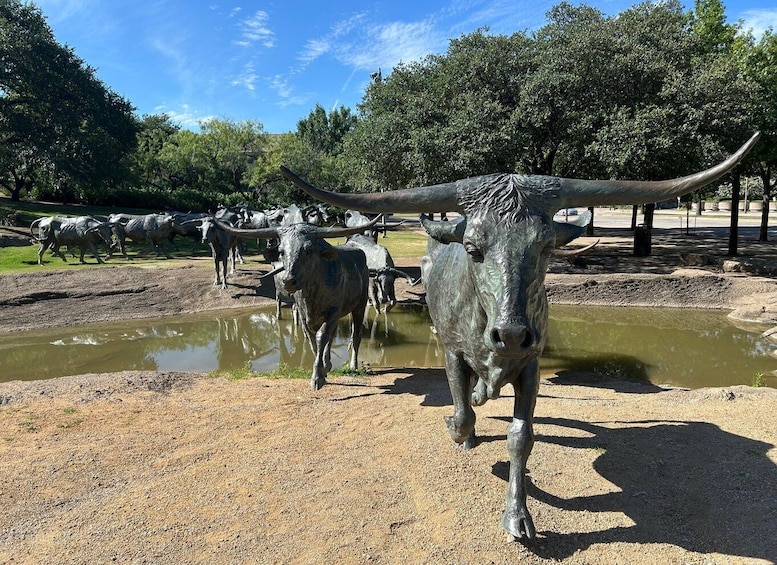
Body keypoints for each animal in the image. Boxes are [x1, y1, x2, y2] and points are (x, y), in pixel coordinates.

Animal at [215, 216, 383, 391]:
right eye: (281, 251)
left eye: (308, 250)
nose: (288, 280)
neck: (312, 291)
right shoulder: (304, 314)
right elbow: (311, 339)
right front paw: (322, 370)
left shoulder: (333, 311)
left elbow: (321, 337)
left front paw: (317, 378)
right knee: (332, 335)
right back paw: (328, 363)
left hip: (359, 306)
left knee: (355, 335)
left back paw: (352, 365)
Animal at [278, 131, 760, 540]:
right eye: (473, 248)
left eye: (546, 247)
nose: (510, 334)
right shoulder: (452, 353)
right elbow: (462, 414)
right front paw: (459, 425)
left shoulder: (532, 367)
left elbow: (521, 437)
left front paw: (518, 515)